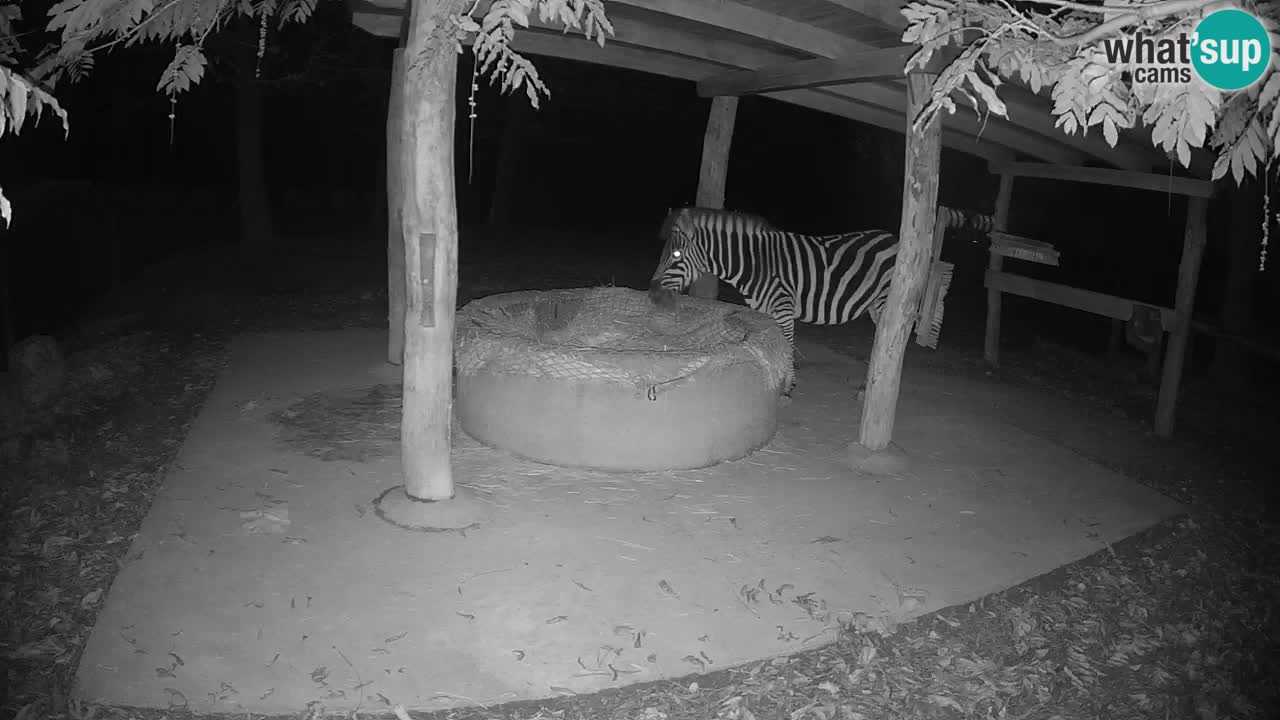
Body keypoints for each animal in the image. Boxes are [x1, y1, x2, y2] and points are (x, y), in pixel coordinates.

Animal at [648, 206, 987, 398]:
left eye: (675, 255)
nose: (651, 294)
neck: (756, 264)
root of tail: (896, 240)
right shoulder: (761, 310)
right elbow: (771, 345)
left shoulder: (783, 307)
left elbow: (787, 342)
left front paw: (787, 387)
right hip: (877, 306)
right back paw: (868, 387)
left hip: (885, 302)